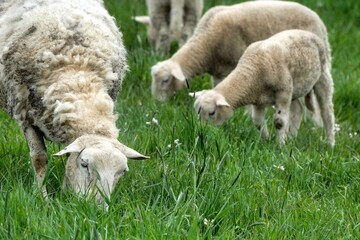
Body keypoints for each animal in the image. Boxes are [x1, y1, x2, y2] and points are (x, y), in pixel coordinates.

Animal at [0, 0, 149, 202]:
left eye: (122, 171)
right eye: (85, 164)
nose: (97, 207)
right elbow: (39, 158)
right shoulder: (24, 113)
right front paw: (43, 197)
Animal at [191, 30, 334, 146]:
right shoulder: (258, 98)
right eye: (197, 112)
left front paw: (280, 146)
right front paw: (266, 141)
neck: (254, 67)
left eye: (212, 113)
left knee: (327, 112)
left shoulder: (283, 92)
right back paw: (291, 138)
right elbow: (257, 122)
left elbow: (279, 122)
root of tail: (310, 34)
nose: (203, 132)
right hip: (295, 89)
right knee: (298, 109)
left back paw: (330, 144)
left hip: (322, 77)